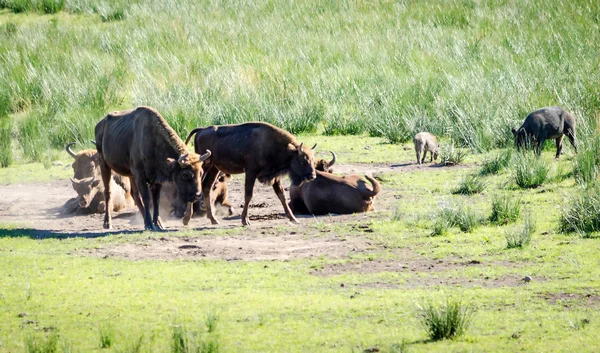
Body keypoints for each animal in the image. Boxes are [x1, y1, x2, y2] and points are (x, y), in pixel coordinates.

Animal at [184, 122, 316, 224]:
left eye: (312, 159)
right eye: (303, 159)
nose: (312, 175)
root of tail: (201, 130)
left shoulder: (275, 177)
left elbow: (281, 195)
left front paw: (293, 219)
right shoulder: (251, 172)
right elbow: (248, 195)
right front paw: (245, 221)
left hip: (214, 168)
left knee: (206, 187)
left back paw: (213, 220)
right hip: (204, 166)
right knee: (196, 185)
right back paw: (186, 219)